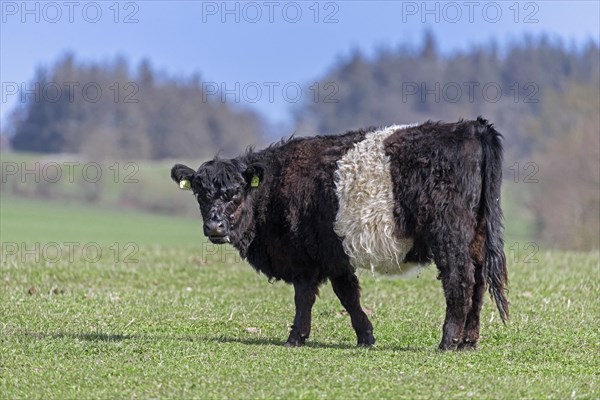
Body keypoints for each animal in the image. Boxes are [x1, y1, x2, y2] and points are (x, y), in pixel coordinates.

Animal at [171, 116, 508, 350]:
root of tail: (471, 127)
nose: (214, 226)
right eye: (200, 193)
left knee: (460, 281)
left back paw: (448, 341)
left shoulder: (306, 256)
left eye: (236, 193)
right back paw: (468, 342)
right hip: (476, 237)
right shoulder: (334, 255)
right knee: (479, 282)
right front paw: (366, 337)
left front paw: (296, 337)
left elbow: (310, 297)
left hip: (450, 236)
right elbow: (348, 294)